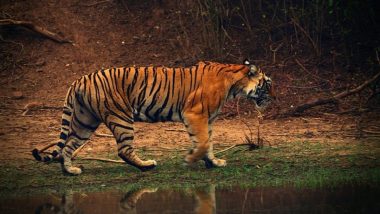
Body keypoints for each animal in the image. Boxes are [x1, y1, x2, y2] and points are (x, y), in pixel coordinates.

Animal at [31, 58, 274, 174]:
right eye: (268, 83)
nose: (273, 97)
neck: (234, 84)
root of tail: (79, 80)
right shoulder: (194, 114)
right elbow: (204, 142)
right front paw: (190, 160)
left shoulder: (207, 120)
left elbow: (209, 143)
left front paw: (213, 162)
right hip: (121, 117)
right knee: (123, 150)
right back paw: (147, 165)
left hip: (85, 121)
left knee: (68, 147)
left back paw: (70, 171)